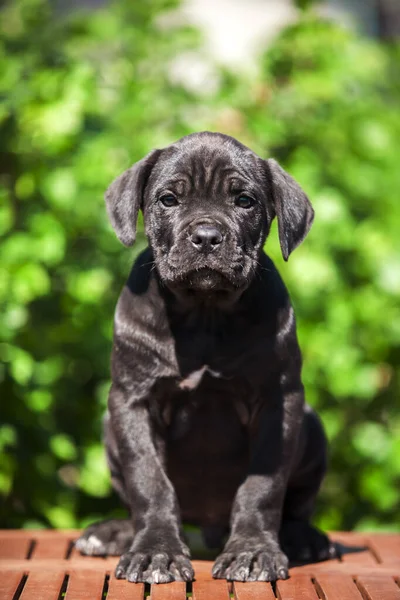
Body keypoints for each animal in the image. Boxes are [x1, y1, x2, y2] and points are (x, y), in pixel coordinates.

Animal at [75, 131, 334, 580]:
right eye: (168, 199)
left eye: (244, 200)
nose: (208, 236)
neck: (205, 312)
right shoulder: (133, 401)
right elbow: (149, 481)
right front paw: (156, 551)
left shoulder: (278, 402)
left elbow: (262, 487)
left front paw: (252, 551)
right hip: (110, 429)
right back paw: (113, 532)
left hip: (312, 427)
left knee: (296, 507)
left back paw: (303, 538)